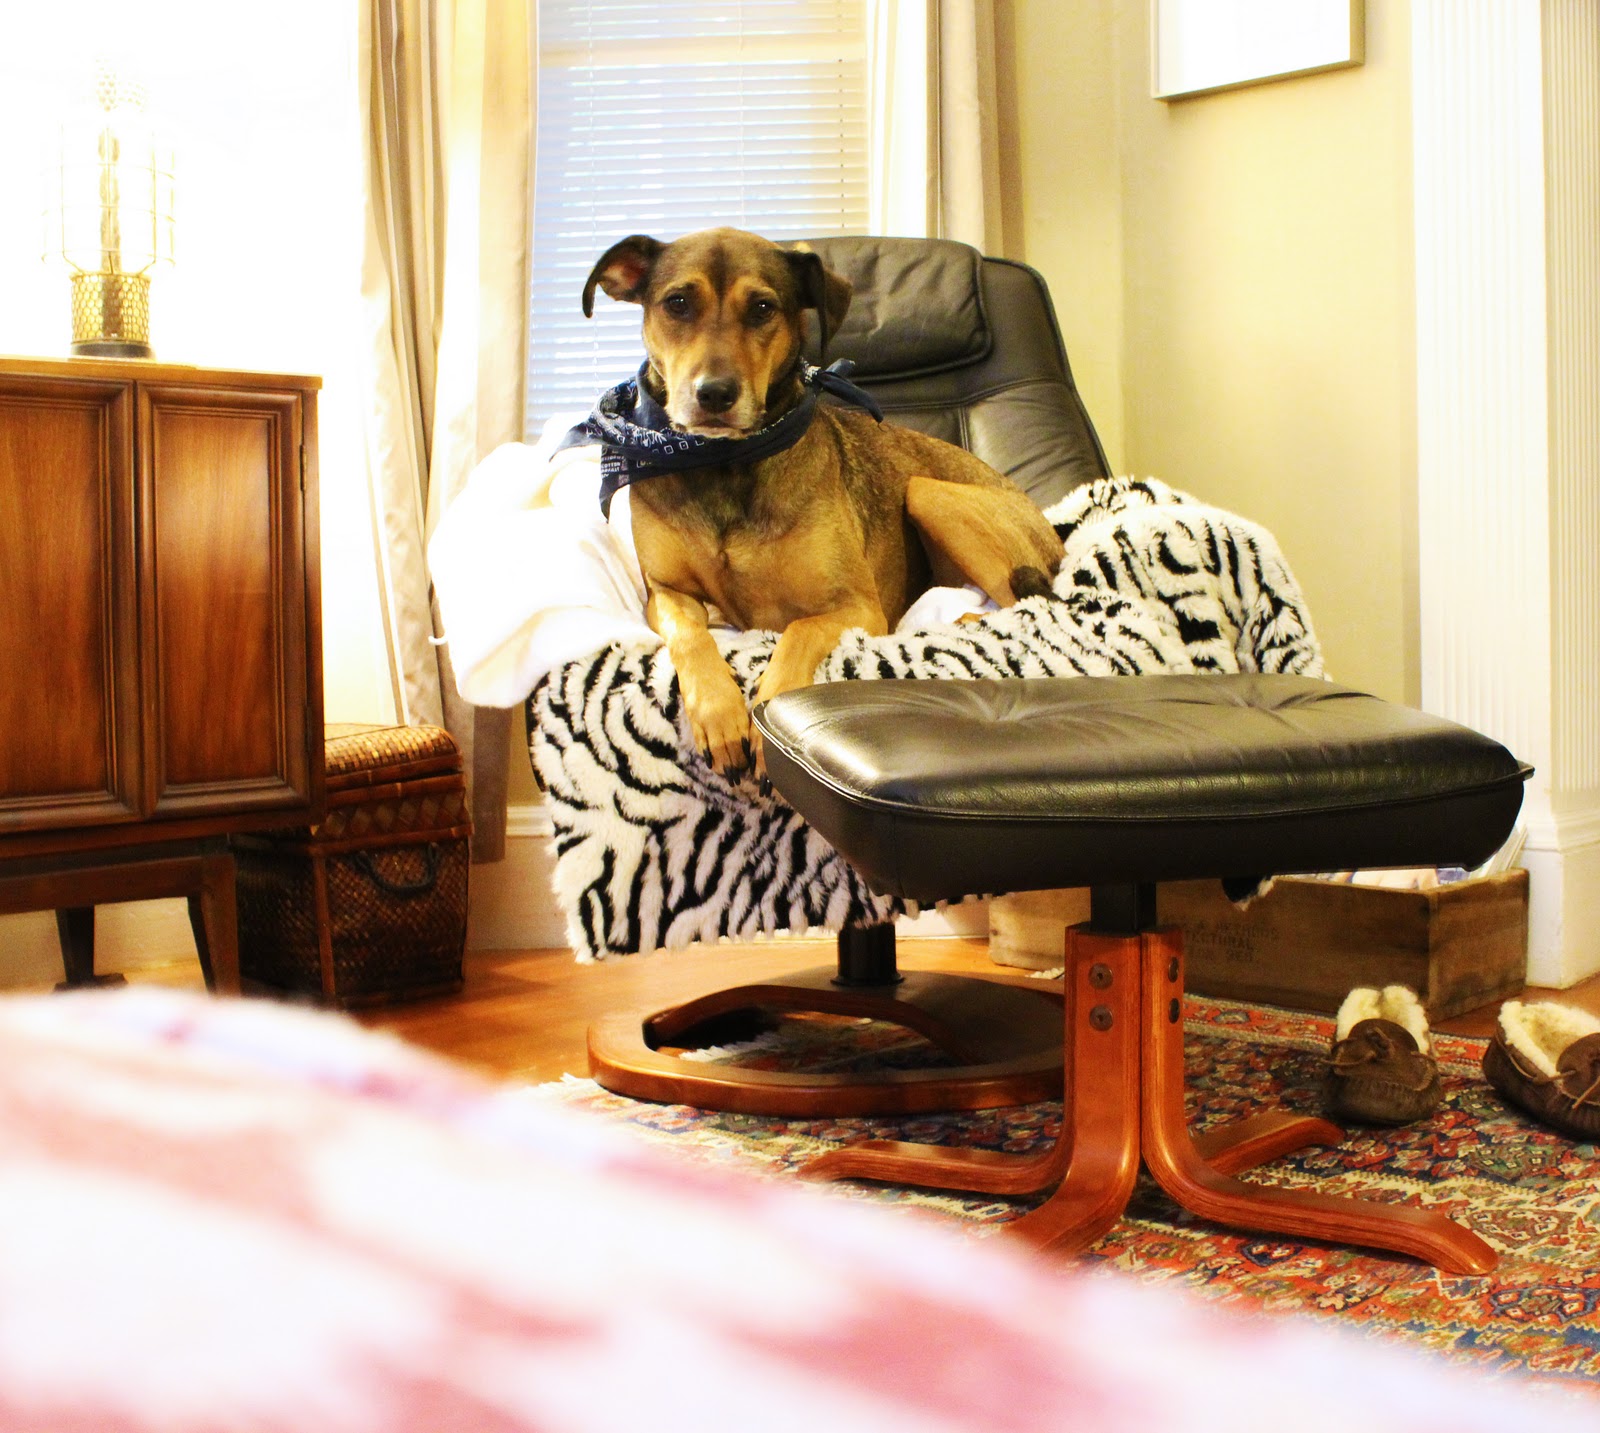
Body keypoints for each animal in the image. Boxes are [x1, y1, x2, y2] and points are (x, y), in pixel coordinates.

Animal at [578, 226, 1063, 779]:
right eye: (677, 303)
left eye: (763, 308)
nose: (715, 394)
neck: (724, 461)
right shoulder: (665, 592)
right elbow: (691, 634)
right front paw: (718, 713)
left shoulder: (857, 606)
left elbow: (799, 631)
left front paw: (766, 722)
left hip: (929, 493)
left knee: (1032, 606)